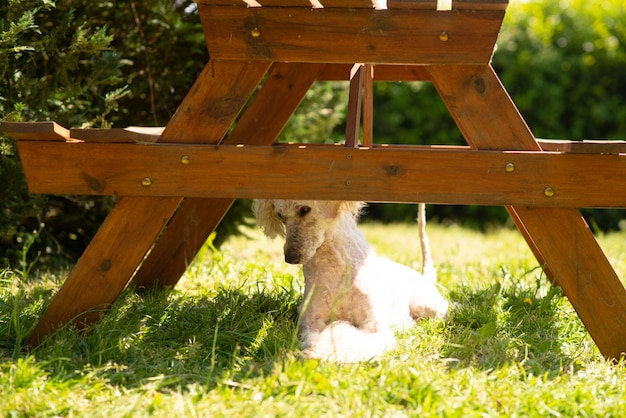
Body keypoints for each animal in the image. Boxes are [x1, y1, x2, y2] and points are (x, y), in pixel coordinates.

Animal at [251, 199, 446, 362]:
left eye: (304, 209)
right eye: (280, 215)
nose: (291, 257)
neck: (334, 270)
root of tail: (423, 277)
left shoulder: (375, 326)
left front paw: (322, 354)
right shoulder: (310, 323)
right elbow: (316, 337)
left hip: (428, 306)